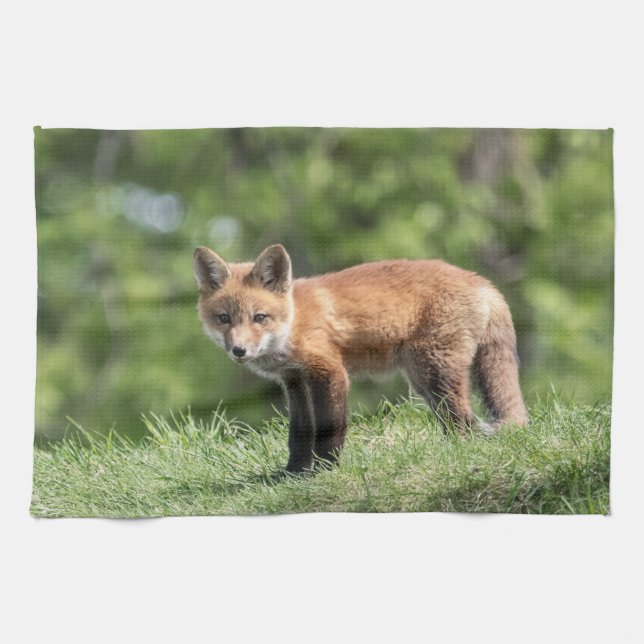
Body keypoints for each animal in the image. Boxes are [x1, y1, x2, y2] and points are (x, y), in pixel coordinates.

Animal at [194, 244, 528, 473]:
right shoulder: (295, 380)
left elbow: (329, 428)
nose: (239, 351)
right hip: (423, 380)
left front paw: (325, 470)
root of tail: (483, 282)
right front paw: (293, 473)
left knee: (464, 420)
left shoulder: (330, 372)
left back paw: (454, 453)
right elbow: (299, 433)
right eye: (224, 319)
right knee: (459, 419)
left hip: (433, 371)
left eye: (259, 317)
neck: (294, 322)